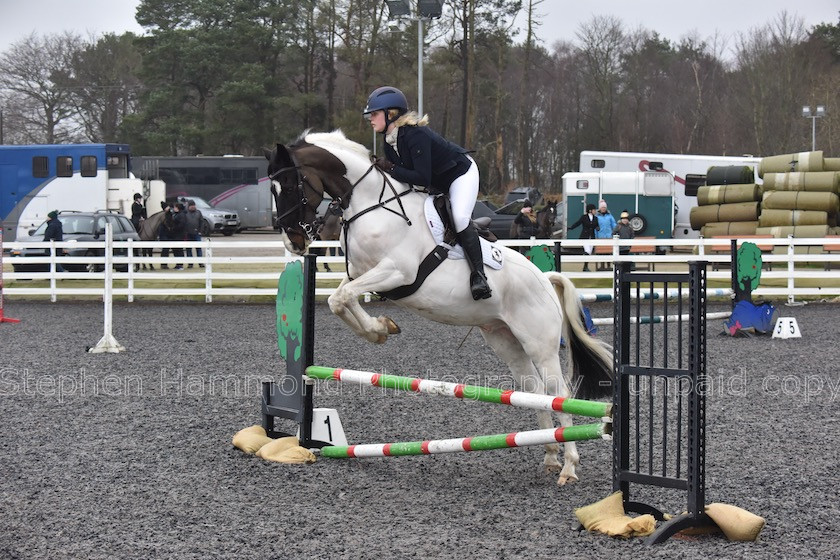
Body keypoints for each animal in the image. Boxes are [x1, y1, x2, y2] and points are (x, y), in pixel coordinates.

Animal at [266, 131, 612, 486]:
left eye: (290, 185)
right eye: (273, 189)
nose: (294, 242)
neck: (371, 204)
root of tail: (544, 278)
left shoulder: (396, 272)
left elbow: (344, 297)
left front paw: (379, 329)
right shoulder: (362, 275)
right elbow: (338, 299)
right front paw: (380, 329)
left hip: (541, 345)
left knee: (559, 392)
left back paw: (569, 465)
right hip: (507, 341)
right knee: (536, 391)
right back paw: (551, 456)